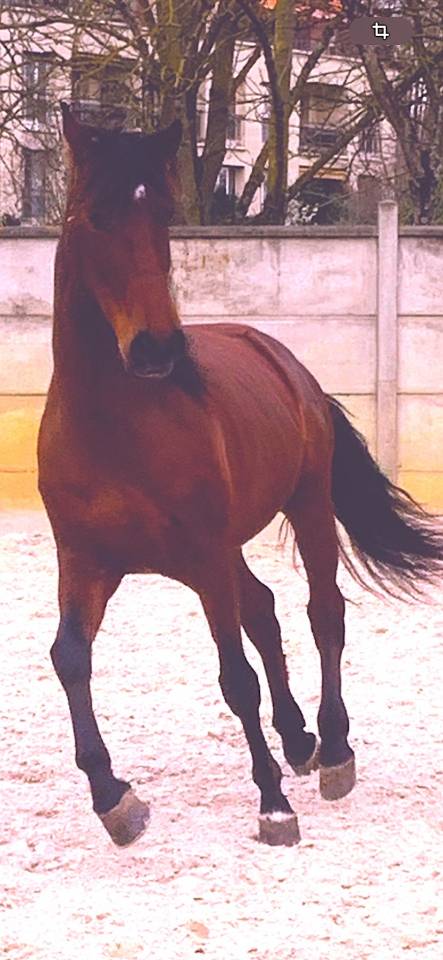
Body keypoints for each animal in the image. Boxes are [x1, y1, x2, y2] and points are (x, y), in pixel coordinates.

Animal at [37, 102, 442, 848]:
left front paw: (273, 804)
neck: (114, 427)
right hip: (226, 550)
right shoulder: (85, 561)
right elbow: (70, 658)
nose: (156, 349)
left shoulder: (202, 559)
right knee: (264, 610)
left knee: (322, 613)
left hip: (305, 509)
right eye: (96, 216)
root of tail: (286, 363)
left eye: (163, 214)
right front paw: (114, 798)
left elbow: (235, 678)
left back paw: (332, 750)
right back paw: (298, 738)